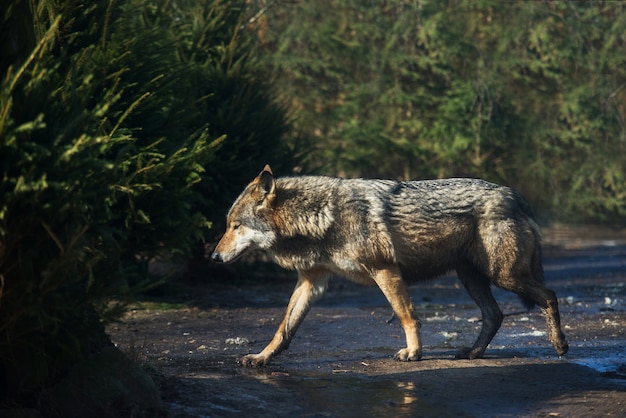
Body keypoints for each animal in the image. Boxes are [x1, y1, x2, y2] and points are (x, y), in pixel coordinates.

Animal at [210, 165, 564, 368]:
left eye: (235, 226)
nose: (213, 257)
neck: (321, 217)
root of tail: (515, 195)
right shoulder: (312, 282)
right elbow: (283, 328)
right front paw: (261, 357)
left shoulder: (385, 270)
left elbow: (407, 316)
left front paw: (413, 353)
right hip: (472, 278)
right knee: (496, 315)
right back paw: (473, 354)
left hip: (503, 276)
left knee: (549, 295)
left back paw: (560, 344)